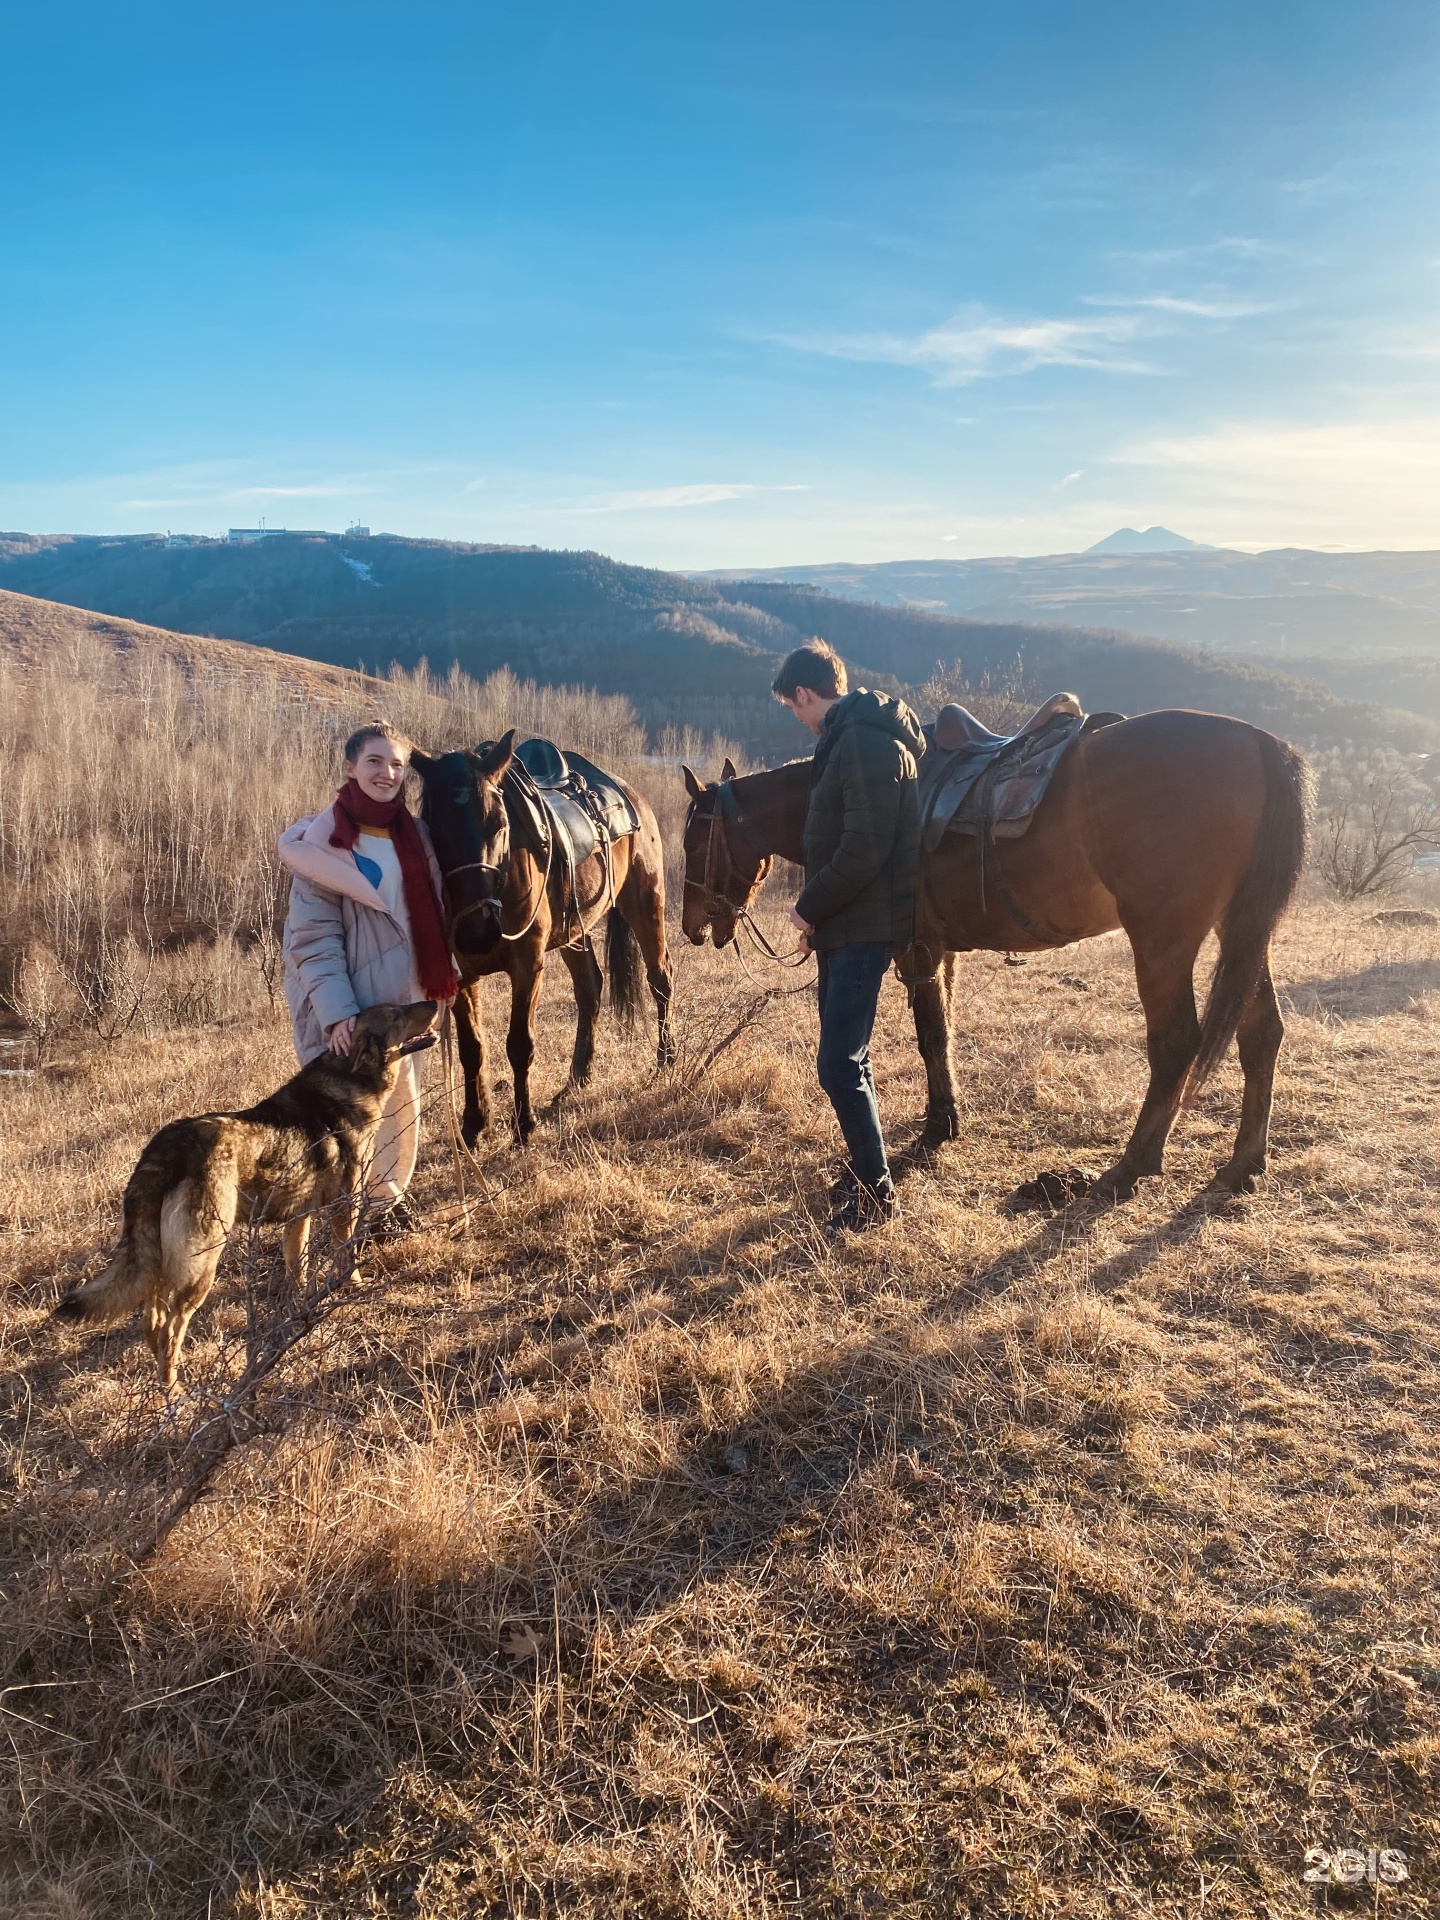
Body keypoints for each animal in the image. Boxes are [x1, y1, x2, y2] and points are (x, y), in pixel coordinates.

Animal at [54, 1006, 439, 1382]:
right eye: (396, 1014)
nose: (434, 1003)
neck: (348, 1081)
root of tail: (168, 1147)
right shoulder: (345, 1206)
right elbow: (345, 1257)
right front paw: (353, 1288)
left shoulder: (298, 1220)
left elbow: (296, 1271)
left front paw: (297, 1313)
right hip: (202, 1261)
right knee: (171, 1327)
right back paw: (176, 1390)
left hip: (159, 1258)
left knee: (153, 1321)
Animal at [410, 733, 672, 1136]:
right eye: (433, 829)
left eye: (499, 824)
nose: (477, 932)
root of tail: (630, 794)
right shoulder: (462, 974)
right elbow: (472, 1049)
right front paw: (474, 1125)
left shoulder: (527, 965)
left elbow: (519, 1044)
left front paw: (523, 1124)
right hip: (575, 930)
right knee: (590, 988)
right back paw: (577, 1079)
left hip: (645, 902)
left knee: (660, 977)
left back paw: (666, 1060)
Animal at [687, 718, 1320, 1198]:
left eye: (695, 840)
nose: (693, 926)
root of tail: (1257, 742)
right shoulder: (939, 950)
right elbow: (941, 1033)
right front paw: (946, 1118)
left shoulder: (915, 948)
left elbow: (930, 1035)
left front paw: (938, 1126)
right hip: (1241, 931)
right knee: (1261, 1033)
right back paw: (1244, 1163)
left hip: (1164, 938)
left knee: (1176, 1045)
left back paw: (1132, 1164)